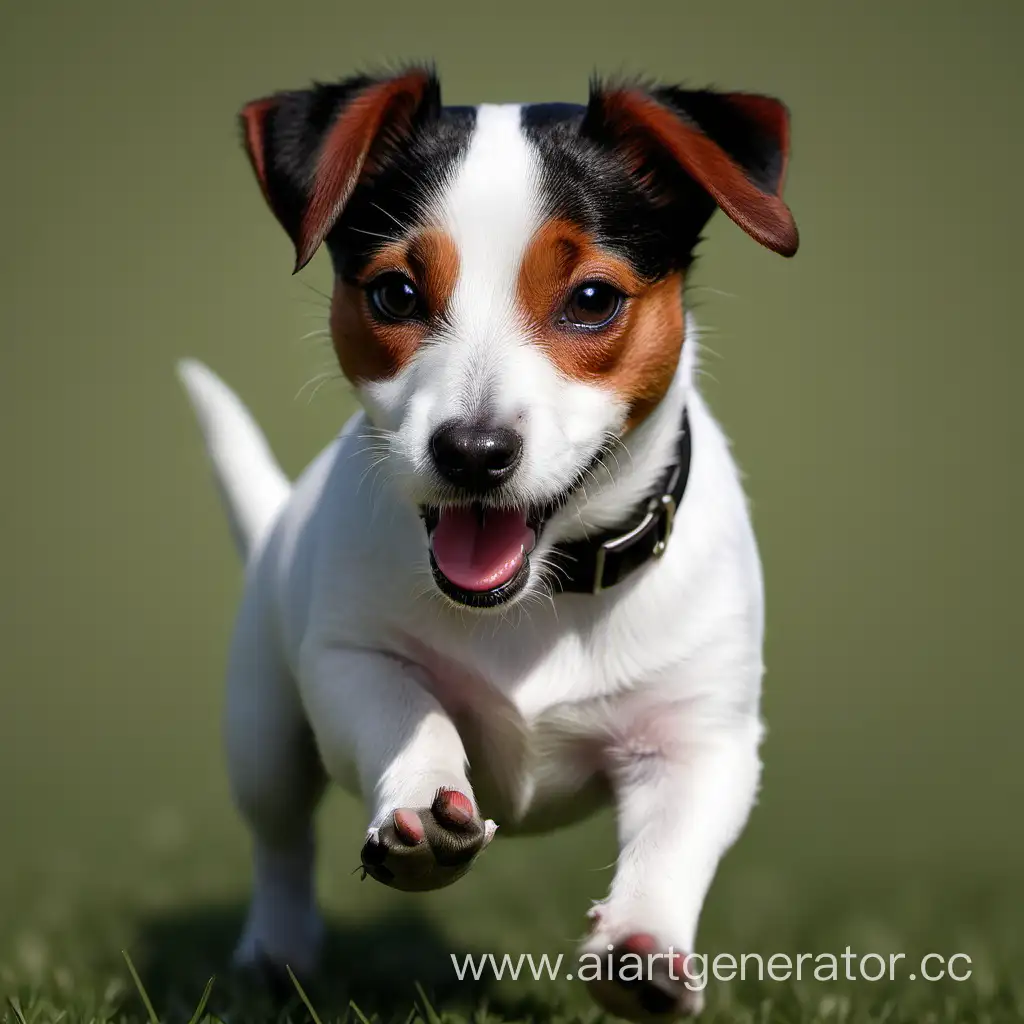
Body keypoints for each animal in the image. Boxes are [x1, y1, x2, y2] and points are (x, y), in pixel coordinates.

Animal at [178, 68, 798, 1019]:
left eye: (592, 300)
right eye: (396, 294)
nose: (471, 451)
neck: (535, 599)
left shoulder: (703, 734)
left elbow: (674, 842)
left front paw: (644, 945)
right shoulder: (351, 660)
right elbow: (411, 713)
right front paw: (424, 805)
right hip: (262, 728)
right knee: (281, 842)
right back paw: (276, 953)